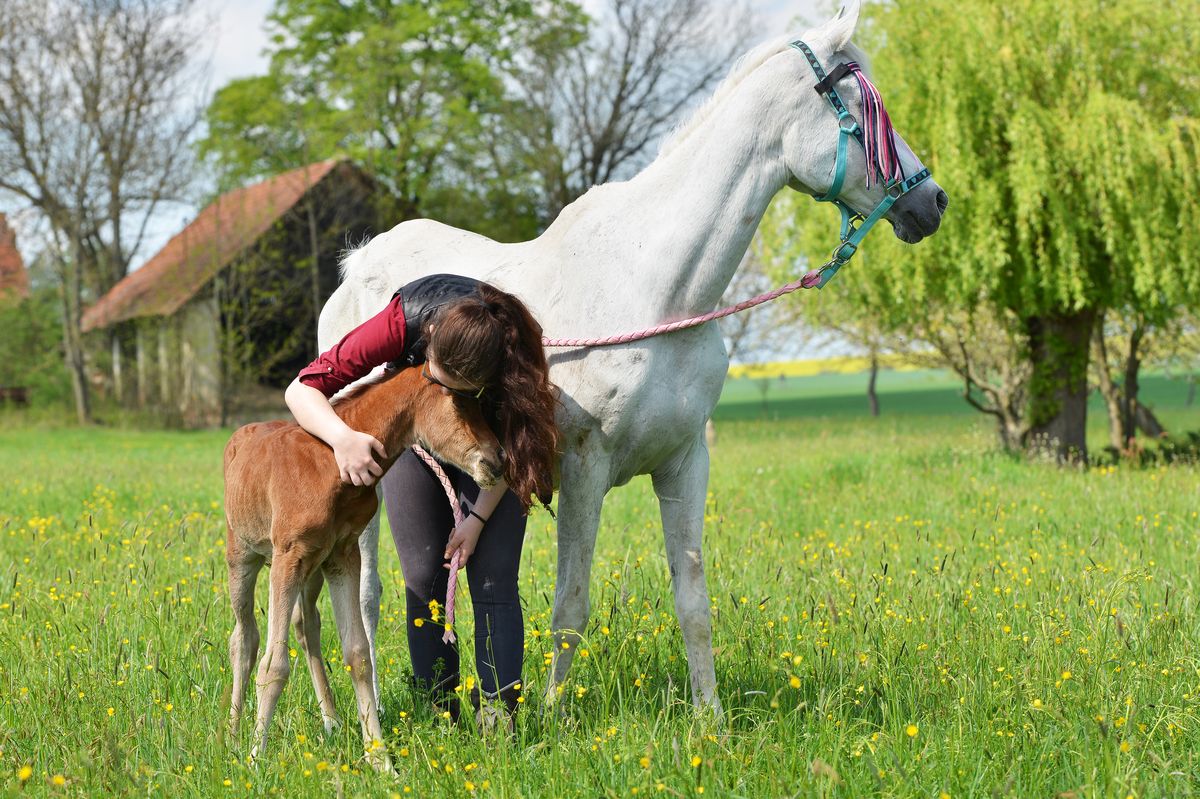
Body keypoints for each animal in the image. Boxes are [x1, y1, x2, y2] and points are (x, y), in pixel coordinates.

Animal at [223, 367, 503, 769]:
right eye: (458, 402)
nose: (498, 461)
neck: (331, 462)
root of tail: (240, 435)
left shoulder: (343, 554)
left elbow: (358, 654)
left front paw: (381, 758)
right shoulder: (287, 557)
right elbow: (273, 665)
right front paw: (255, 758)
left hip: (313, 569)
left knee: (306, 625)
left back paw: (332, 722)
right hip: (244, 556)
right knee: (244, 638)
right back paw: (232, 737)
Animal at [318, 0, 947, 715]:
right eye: (861, 106)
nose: (931, 201)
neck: (656, 288)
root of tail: (358, 267)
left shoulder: (685, 463)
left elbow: (693, 600)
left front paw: (709, 717)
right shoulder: (584, 470)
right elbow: (570, 607)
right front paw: (555, 717)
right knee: (365, 597)